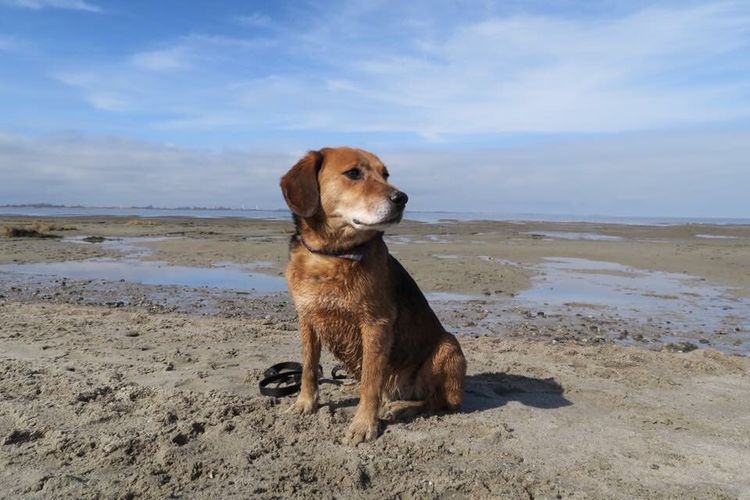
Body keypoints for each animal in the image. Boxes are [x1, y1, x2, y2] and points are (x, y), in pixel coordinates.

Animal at [282, 146, 468, 444]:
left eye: (385, 174)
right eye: (353, 173)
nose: (402, 198)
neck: (333, 255)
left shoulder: (375, 326)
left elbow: (371, 381)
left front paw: (364, 424)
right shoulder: (307, 319)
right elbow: (309, 367)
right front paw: (305, 403)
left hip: (447, 347)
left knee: (436, 401)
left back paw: (401, 407)